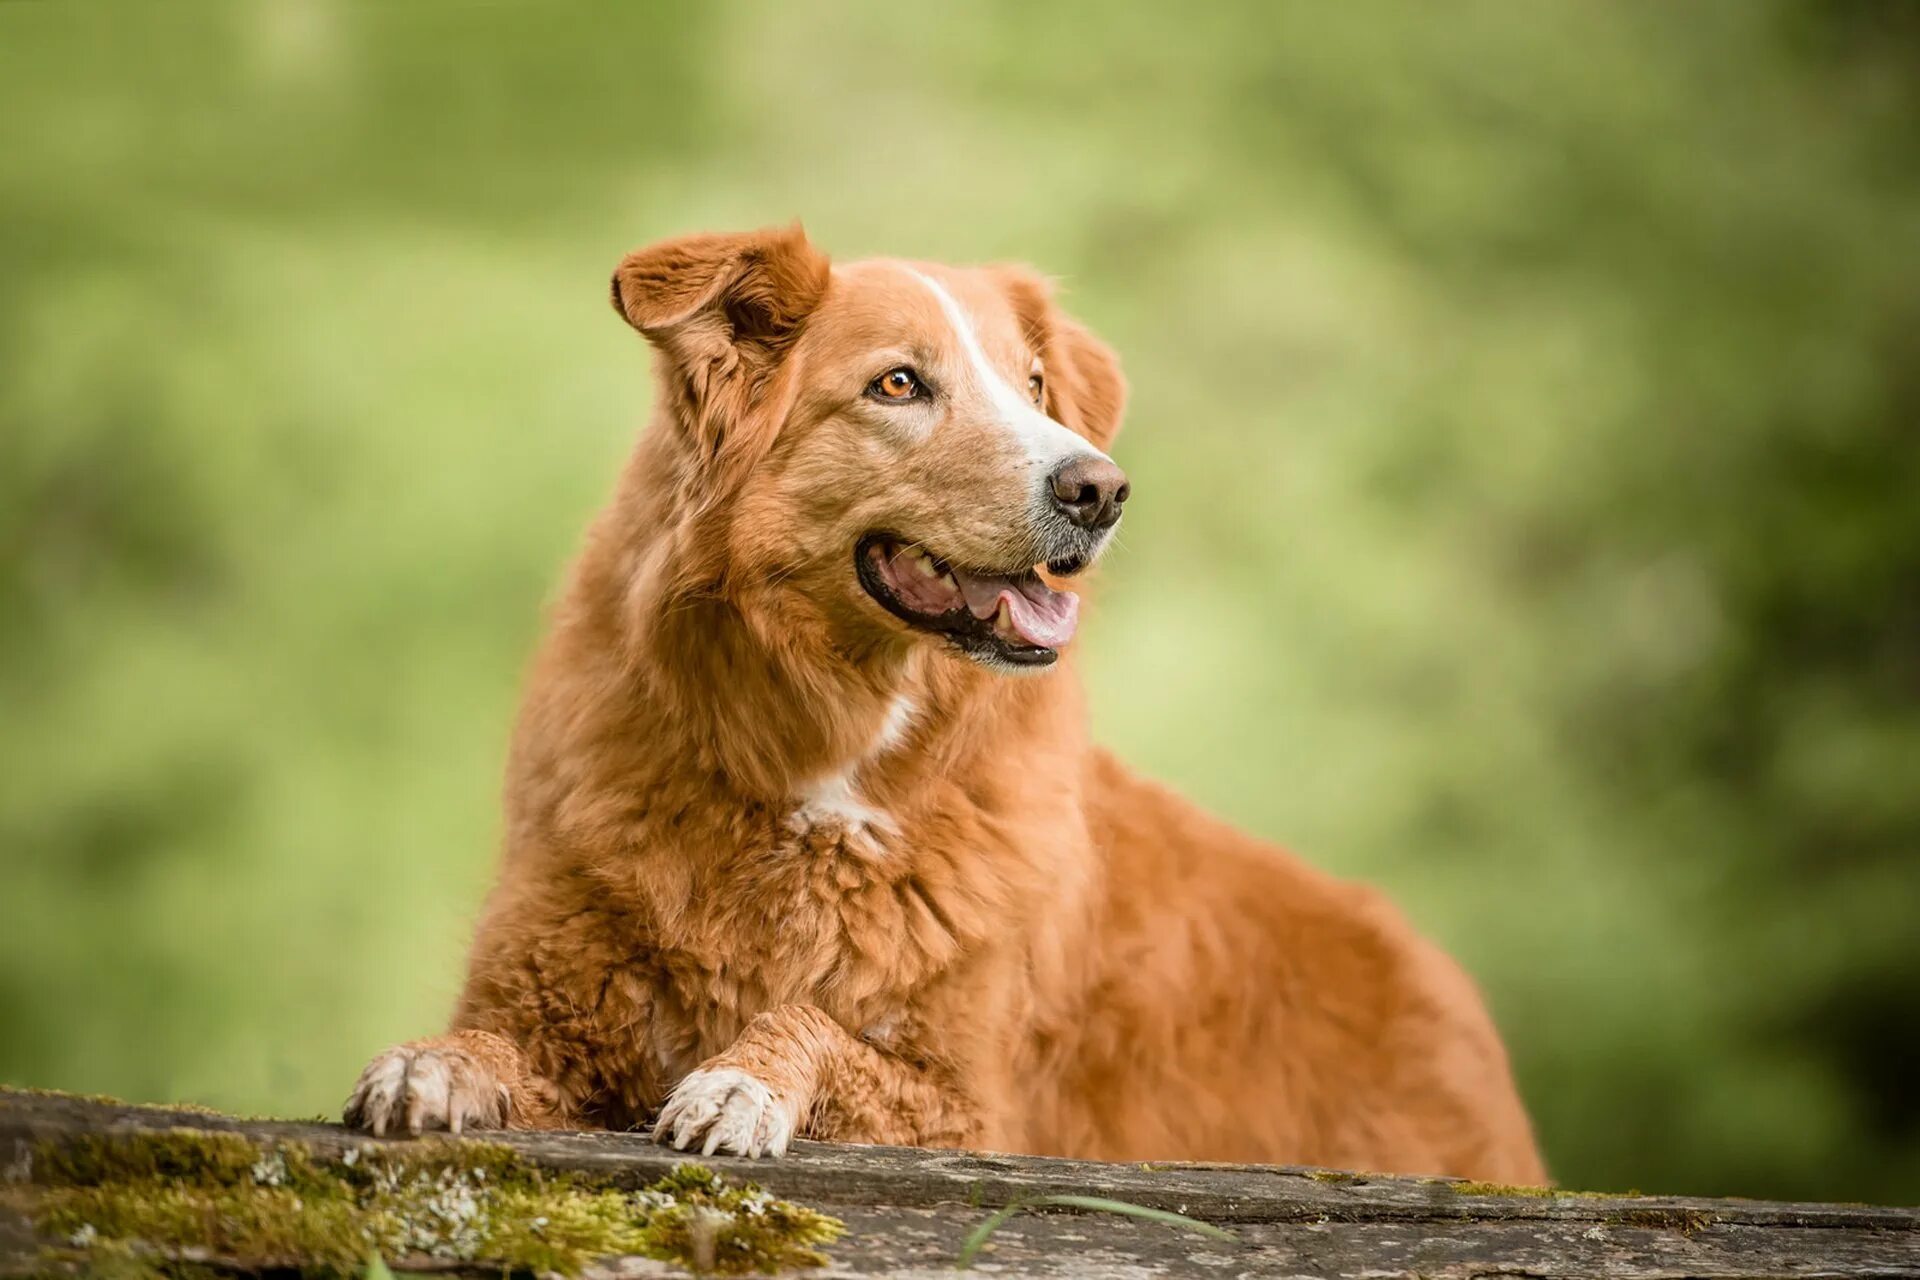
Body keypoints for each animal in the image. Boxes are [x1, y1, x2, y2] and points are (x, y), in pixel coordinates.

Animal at [341, 225, 1543, 1189]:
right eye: (898, 386)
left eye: (1036, 385)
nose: (1102, 489)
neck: (828, 757)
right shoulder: (552, 1009)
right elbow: (492, 1043)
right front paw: (435, 1065)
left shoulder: (973, 1110)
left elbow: (815, 1022)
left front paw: (743, 1080)